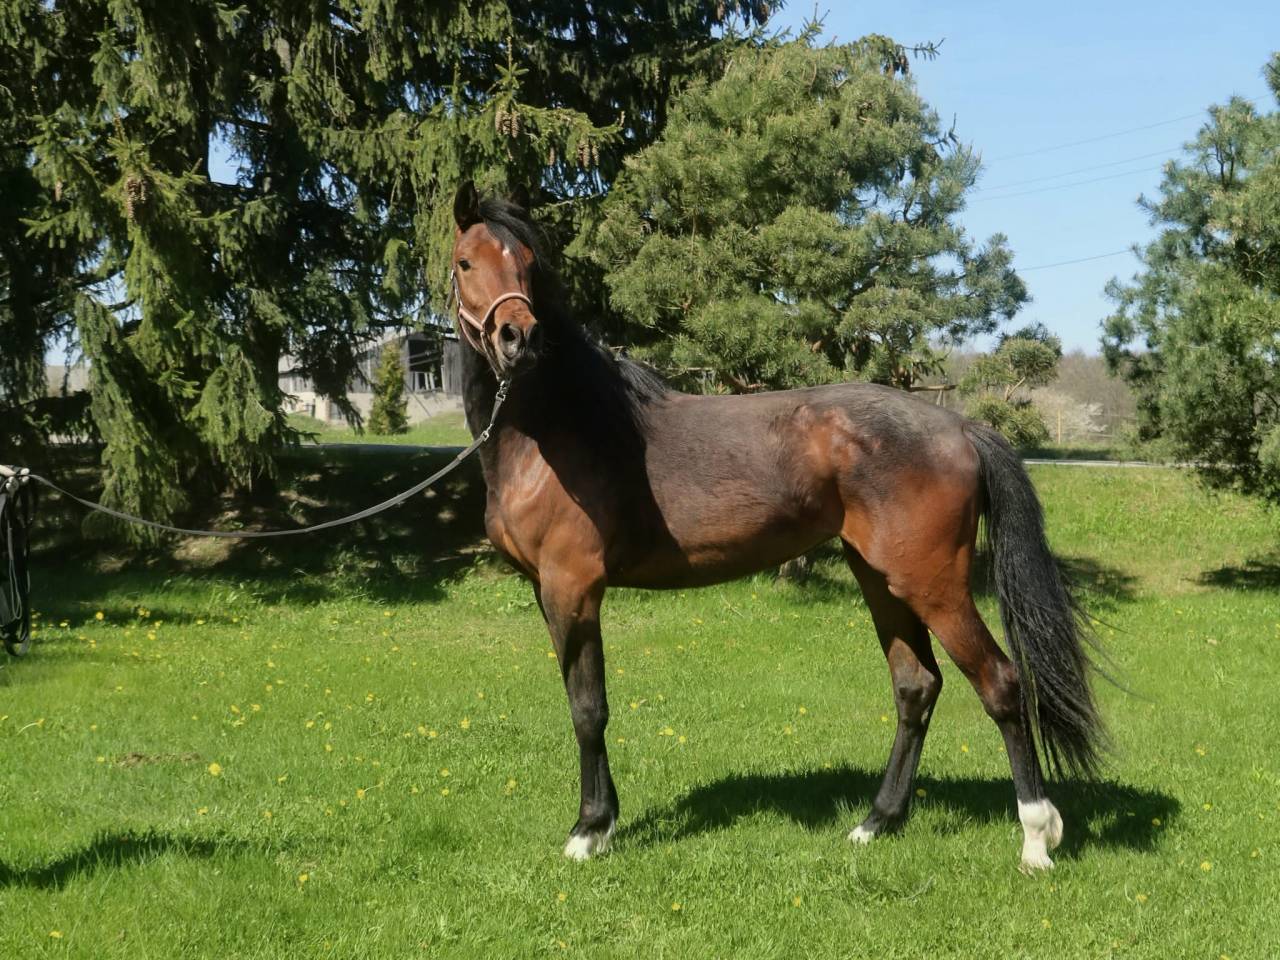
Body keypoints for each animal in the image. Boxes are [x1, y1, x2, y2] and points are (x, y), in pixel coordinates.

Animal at [447, 181, 1103, 871]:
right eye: (466, 263)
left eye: (527, 263)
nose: (518, 336)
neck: (559, 428)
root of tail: (959, 427)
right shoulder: (551, 591)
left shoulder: (571, 588)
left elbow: (588, 709)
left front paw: (589, 829)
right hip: (881, 581)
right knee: (916, 687)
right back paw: (876, 822)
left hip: (934, 587)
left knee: (1001, 684)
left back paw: (1036, 838)